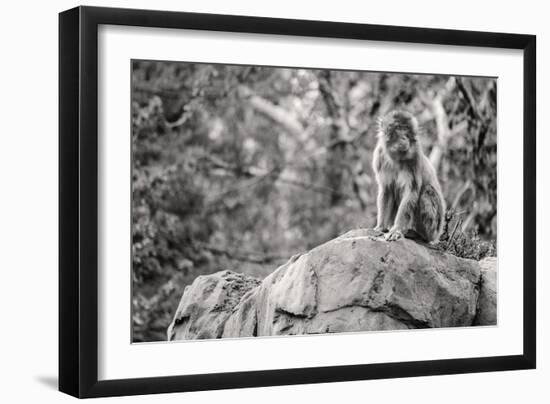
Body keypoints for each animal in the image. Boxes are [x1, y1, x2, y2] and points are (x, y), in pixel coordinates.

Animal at [376, 109, 448, 243]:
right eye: (398, 128)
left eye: (406, 129)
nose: (404, 137)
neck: (396, 158)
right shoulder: (380, 157)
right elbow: (387, 190)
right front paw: (381, 227)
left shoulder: (415, 158)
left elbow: (411, 192)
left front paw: (396, 230)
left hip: (434, 227)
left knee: (427, 191)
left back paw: (418, 234)